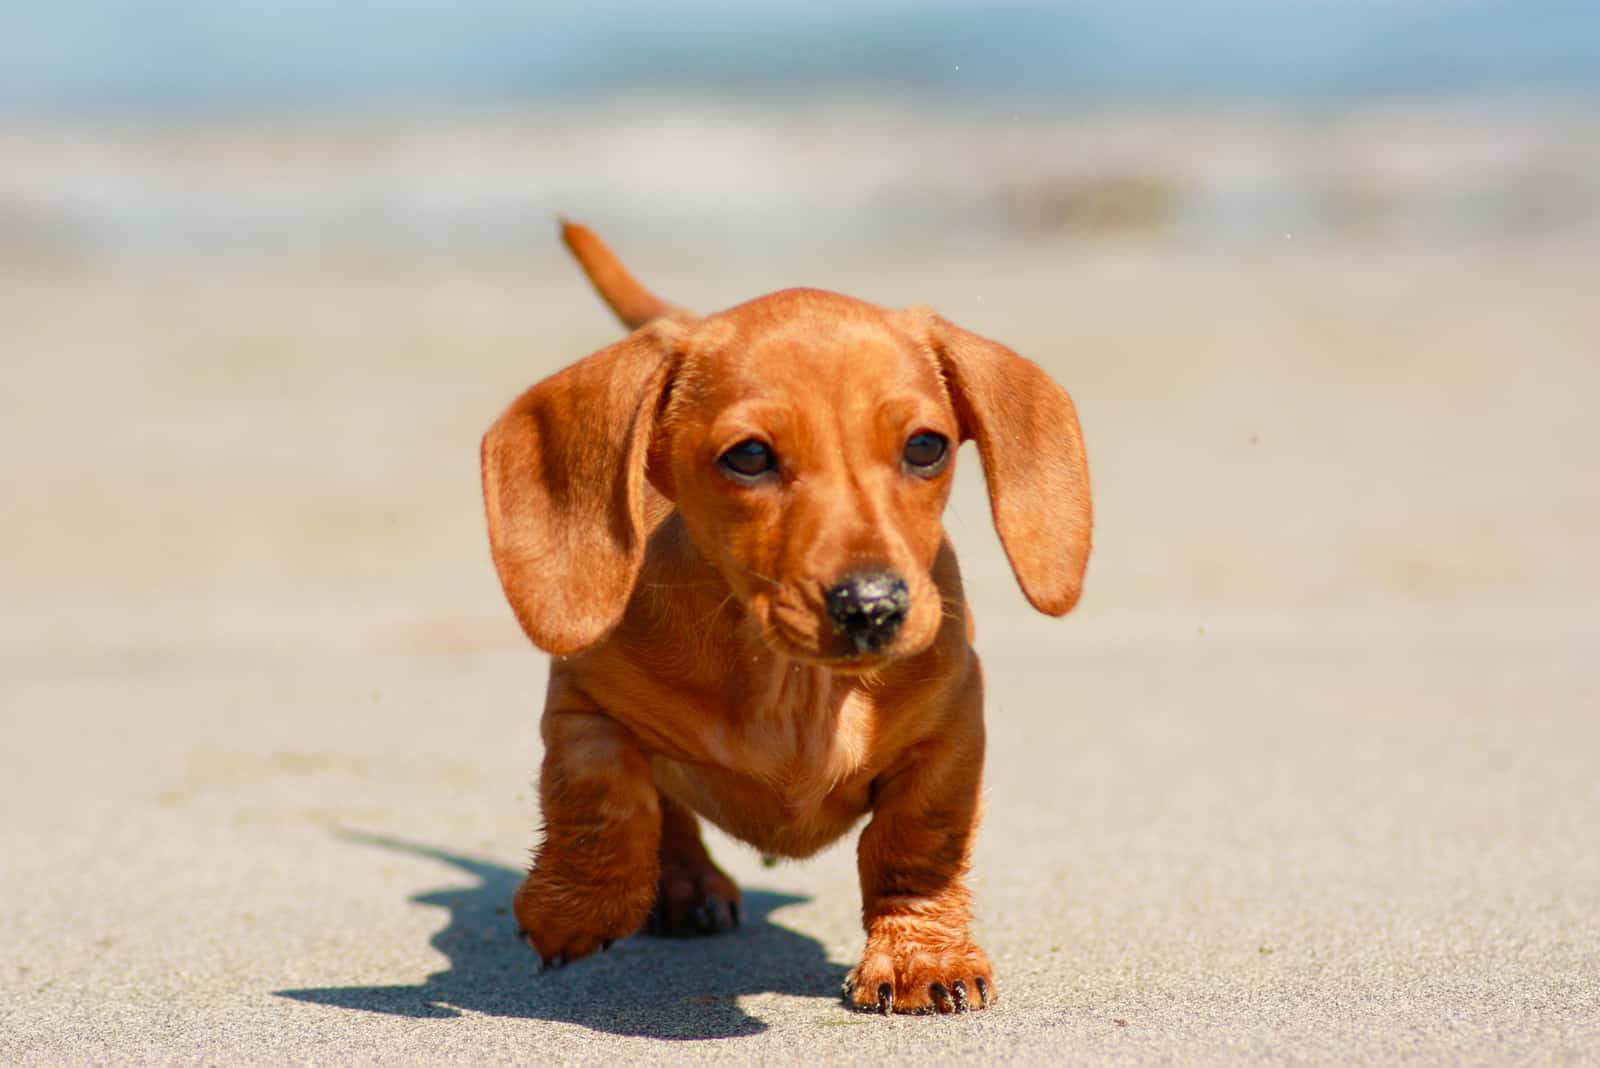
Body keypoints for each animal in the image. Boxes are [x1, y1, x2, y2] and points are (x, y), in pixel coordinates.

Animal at [480, 220, 1094, 1016]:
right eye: (748, 457)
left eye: (926, 446)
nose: (872, 606)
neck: (794, 688)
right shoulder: (583, 699)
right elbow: (602, 802)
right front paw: (575, 908)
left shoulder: (954, 727)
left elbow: (916, 842)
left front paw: (922, 956)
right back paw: (683, 884)